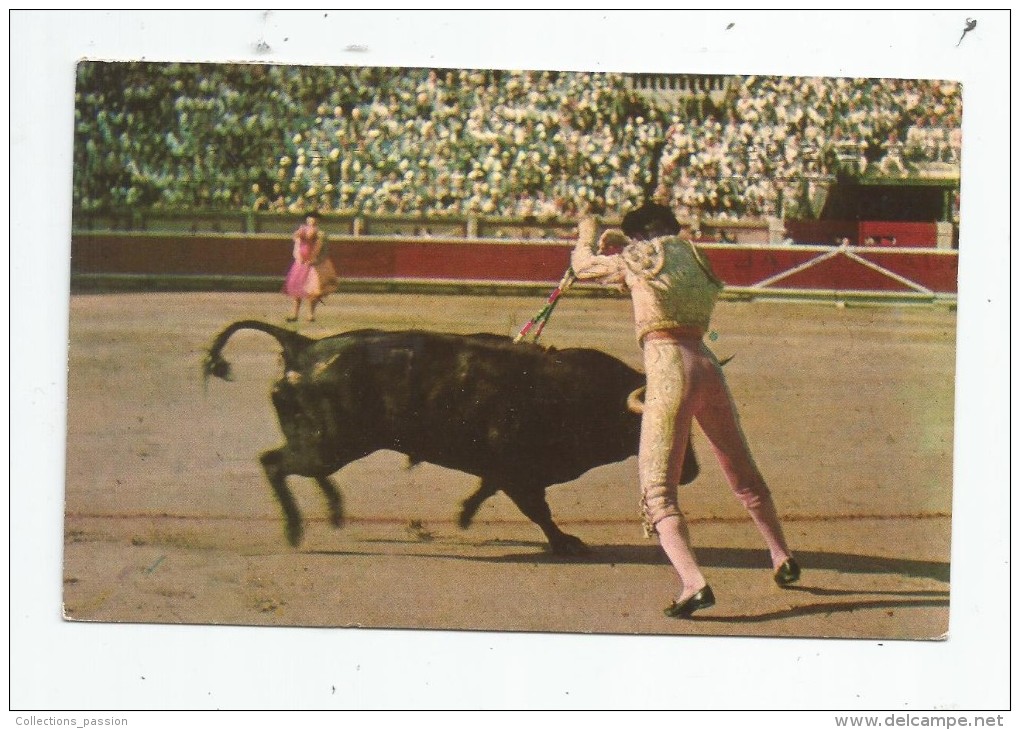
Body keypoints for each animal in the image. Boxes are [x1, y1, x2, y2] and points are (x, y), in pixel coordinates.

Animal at [202, 320, 697, 554]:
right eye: (649, 425)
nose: (690, 471)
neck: (571, 393)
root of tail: (302, 346)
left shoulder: (507, 471)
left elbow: (490, 490)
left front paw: (464, 514)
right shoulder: (518, 471)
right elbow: (537, 510)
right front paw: (565, 544)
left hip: (329, 446)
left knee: (297, 466)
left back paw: (335, 511)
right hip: (329, 445)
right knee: (274, 463)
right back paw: (295, 527)